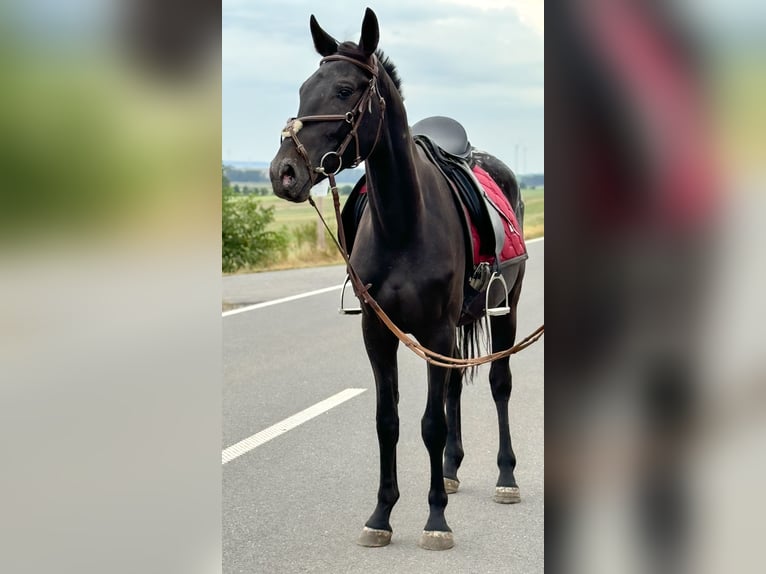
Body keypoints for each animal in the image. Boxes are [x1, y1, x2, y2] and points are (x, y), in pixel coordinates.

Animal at [270, 6, 528, 552]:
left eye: (345, 90)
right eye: (304, 88)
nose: (283, 173)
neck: (404, 222)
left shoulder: (435, 331)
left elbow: (430, 424)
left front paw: (436, 520)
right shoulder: (378, 332)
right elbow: (387, 420)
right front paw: (382, 515)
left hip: (506, 309)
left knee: (499, 383)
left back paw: (505, 477)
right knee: (453, 388)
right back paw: (450, 471)